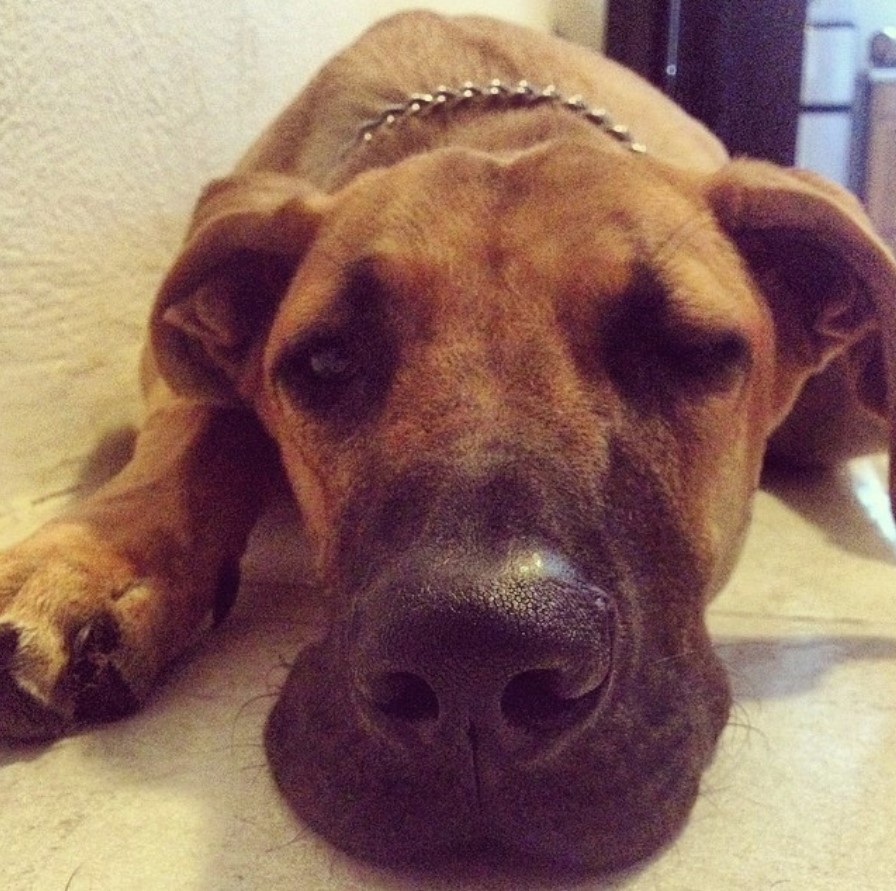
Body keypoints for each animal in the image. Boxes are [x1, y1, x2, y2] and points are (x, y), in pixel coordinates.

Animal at [1, 10, 896, 876]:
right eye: (327, 361)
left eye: (688, 351)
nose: (473, 655)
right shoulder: (186, 357)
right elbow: (199, 427)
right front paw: (86, 564)